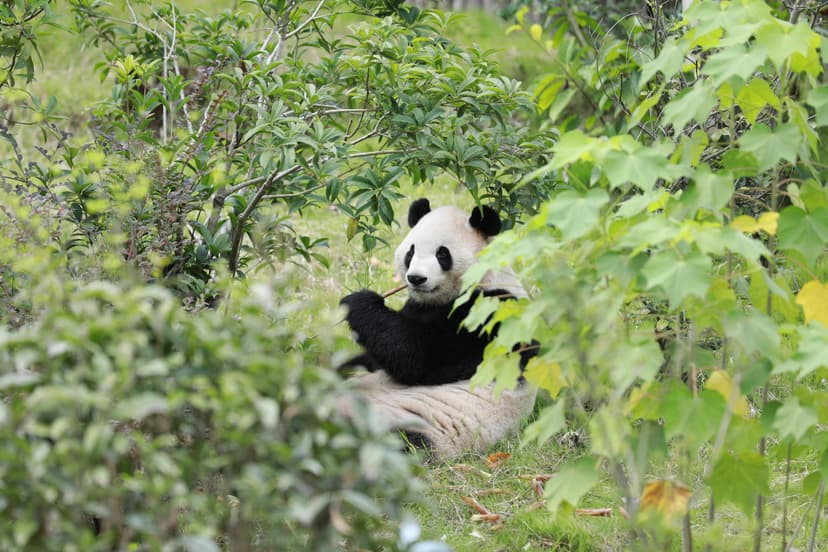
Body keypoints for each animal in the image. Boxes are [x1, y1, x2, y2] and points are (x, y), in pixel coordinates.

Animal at [338, 198, 538, 457]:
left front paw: (359, 302)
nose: (416, 278)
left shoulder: (490, 316)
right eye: (411, 251)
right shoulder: (417, 306)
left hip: (411, 425)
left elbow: (418, 356)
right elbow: (376, 356)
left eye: (442, 254)